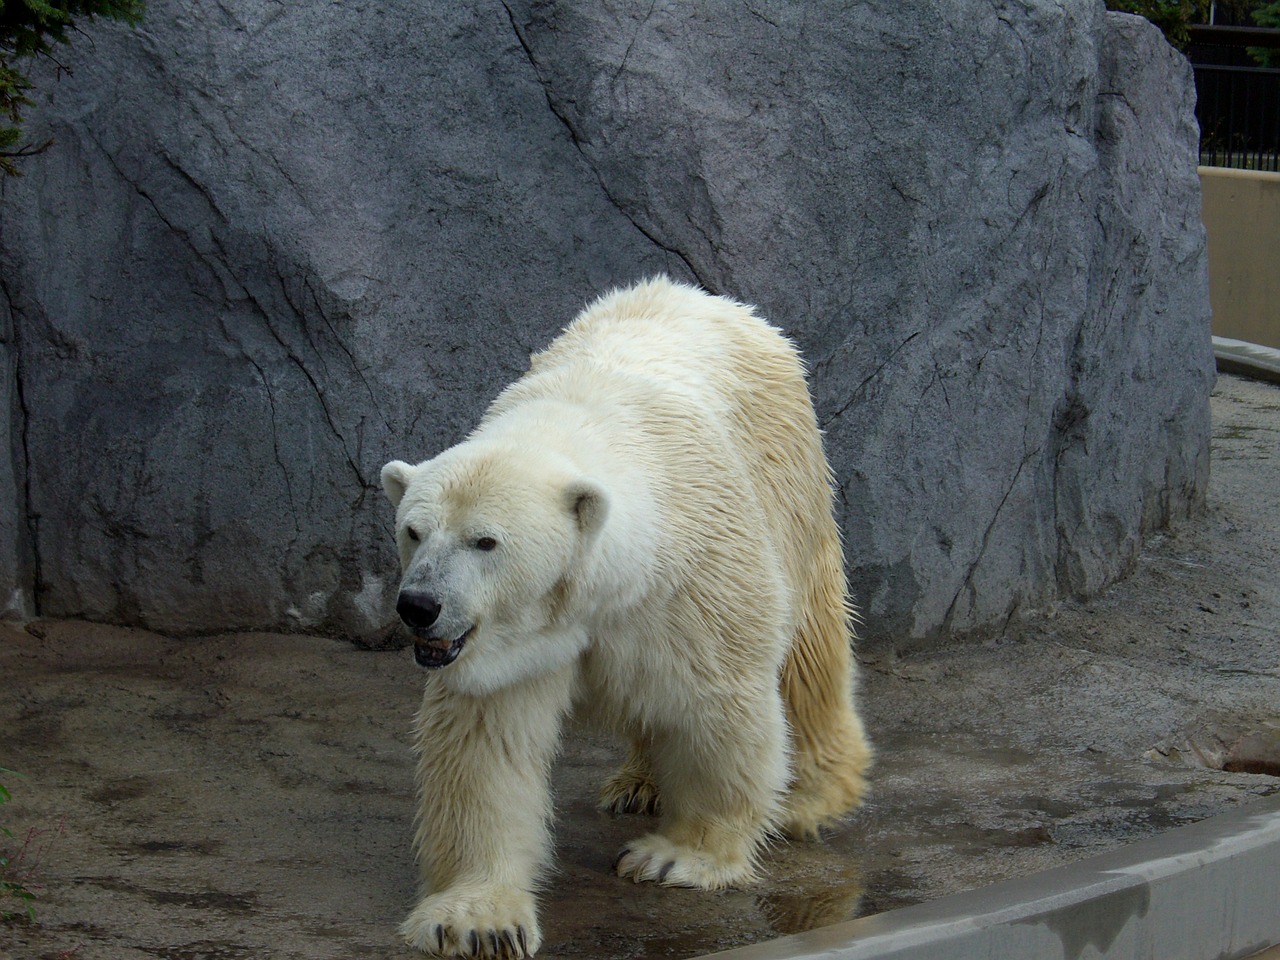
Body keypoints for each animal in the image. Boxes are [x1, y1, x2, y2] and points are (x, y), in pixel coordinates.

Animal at [381, 276, 870, 957]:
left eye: (485, 542)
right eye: (413, 531)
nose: (420, 606)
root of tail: (716, 301)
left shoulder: (697, 575)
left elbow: (719, 703)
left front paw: (679, 857)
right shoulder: (511, 645)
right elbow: (486, 746)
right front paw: (477, 919)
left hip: (789, 481)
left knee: (808, 653)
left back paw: (813, 795)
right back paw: (638, 784)